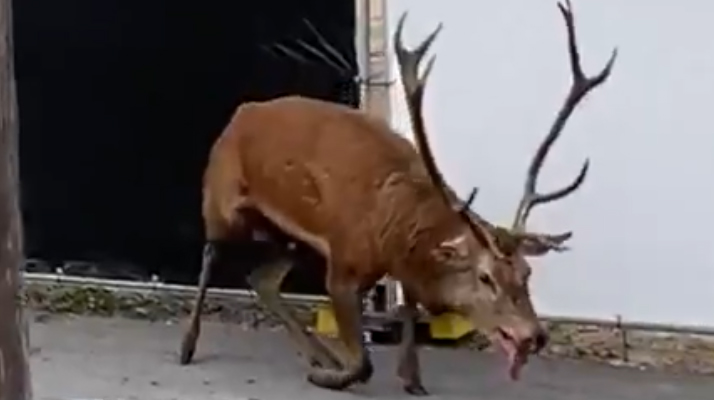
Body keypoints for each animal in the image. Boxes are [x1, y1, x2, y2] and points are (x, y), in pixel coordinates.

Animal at [177, 0, 617, 395]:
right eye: (485, 276)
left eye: (527, 274)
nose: (533, 335)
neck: (398, 226)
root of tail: (240, 114)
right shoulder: (343, 261)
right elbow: (364, 363)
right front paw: (336, 376)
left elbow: (408, 310)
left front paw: (411, 378)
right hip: (220, 197)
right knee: (211, 254)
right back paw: (189, 345)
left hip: (286, 237)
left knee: (262, 279)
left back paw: (320, 355)